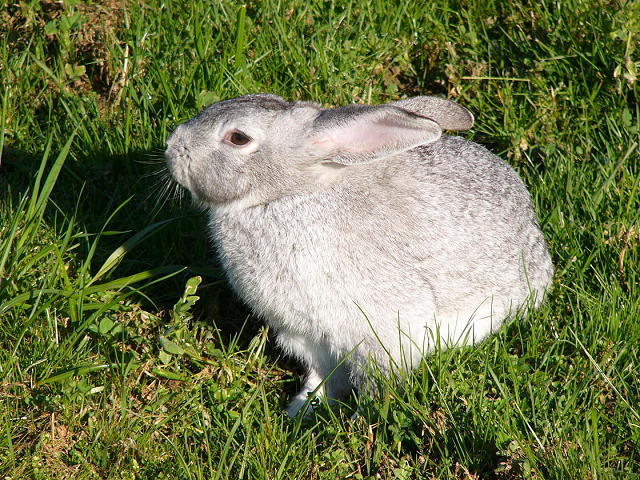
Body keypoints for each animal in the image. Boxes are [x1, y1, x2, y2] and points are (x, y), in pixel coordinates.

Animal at [165, 93, 554, 417]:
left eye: (238, 138)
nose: (172, 146)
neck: (284, 196)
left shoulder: (382, 332)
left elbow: (377, 378)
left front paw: (361, 418)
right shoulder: (305, 337)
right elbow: (321, 375)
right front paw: (303, 408)